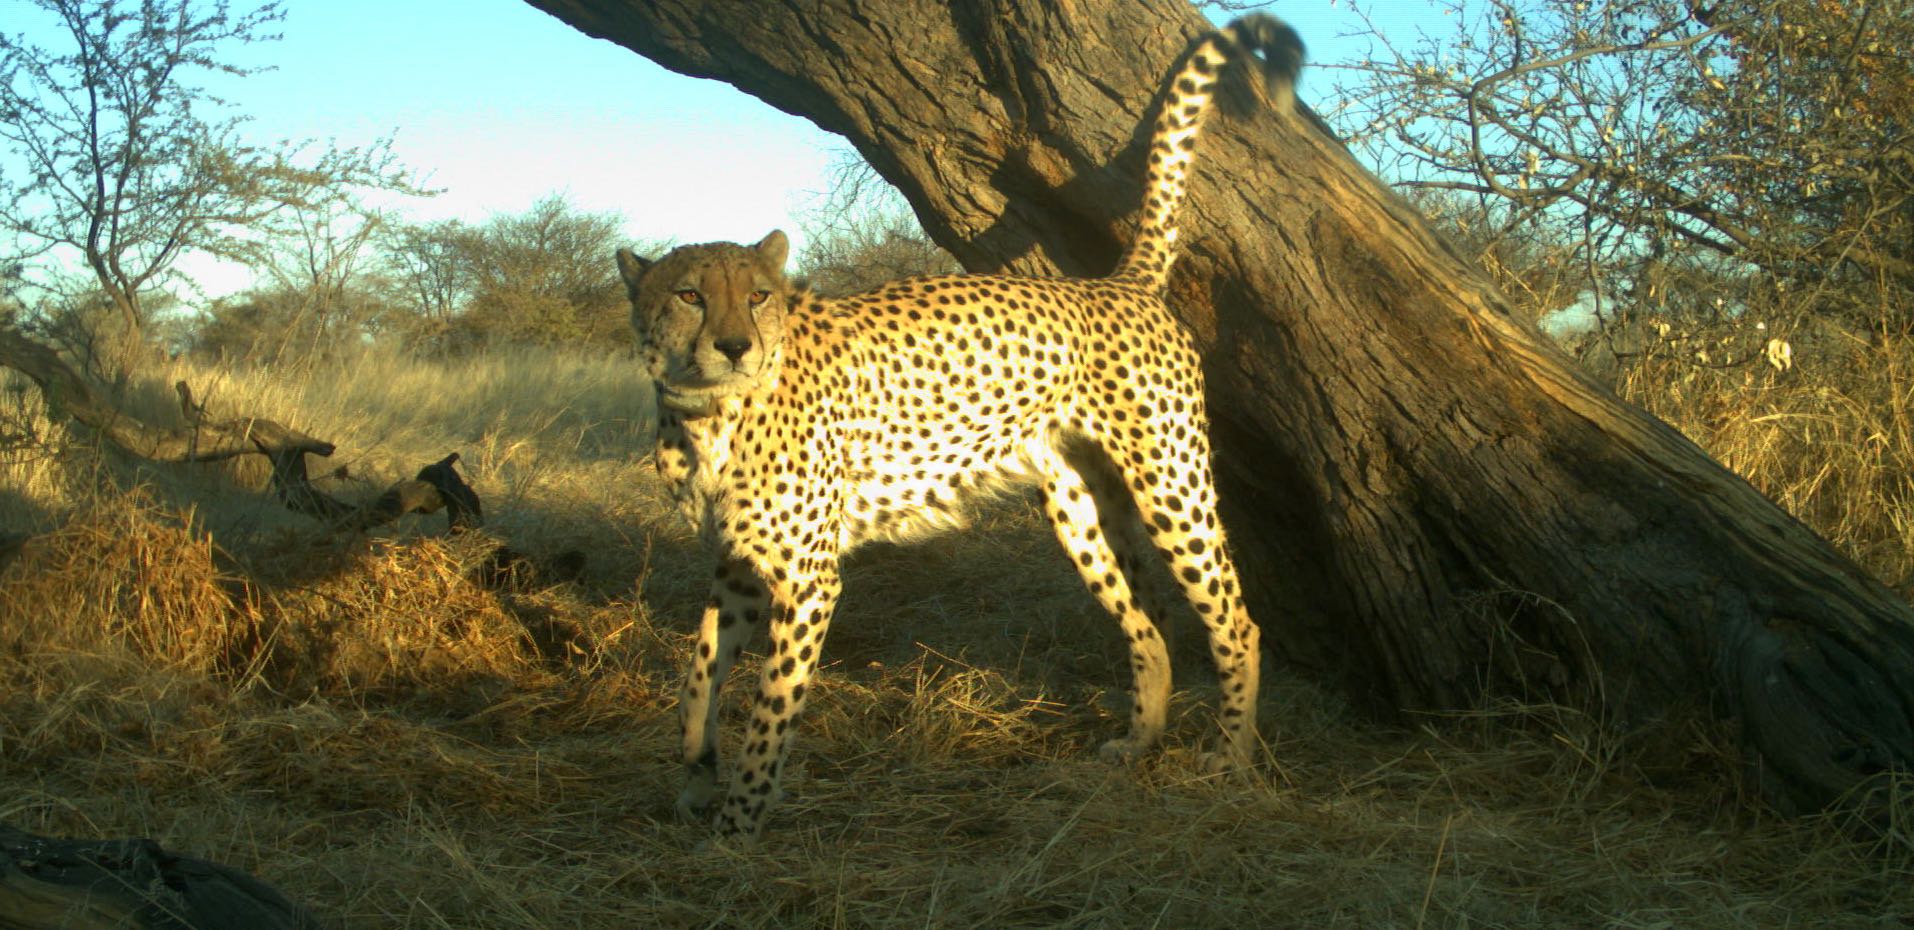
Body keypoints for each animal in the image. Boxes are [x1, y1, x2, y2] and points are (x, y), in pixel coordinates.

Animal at [620, 14, 1309, 841]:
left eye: (757, 296)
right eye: (689, 294)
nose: (733, 346)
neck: (708, 416)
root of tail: (1117, 283)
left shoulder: (807, 576)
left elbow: (769, 707)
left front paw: (739, 822)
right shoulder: (737, 567)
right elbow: (697, 675)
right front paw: (695, 776)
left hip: (1171, 485)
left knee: (1235, 622)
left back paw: (1229, 759)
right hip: (1079, 509)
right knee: (1148, 624)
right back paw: (1138, 743)